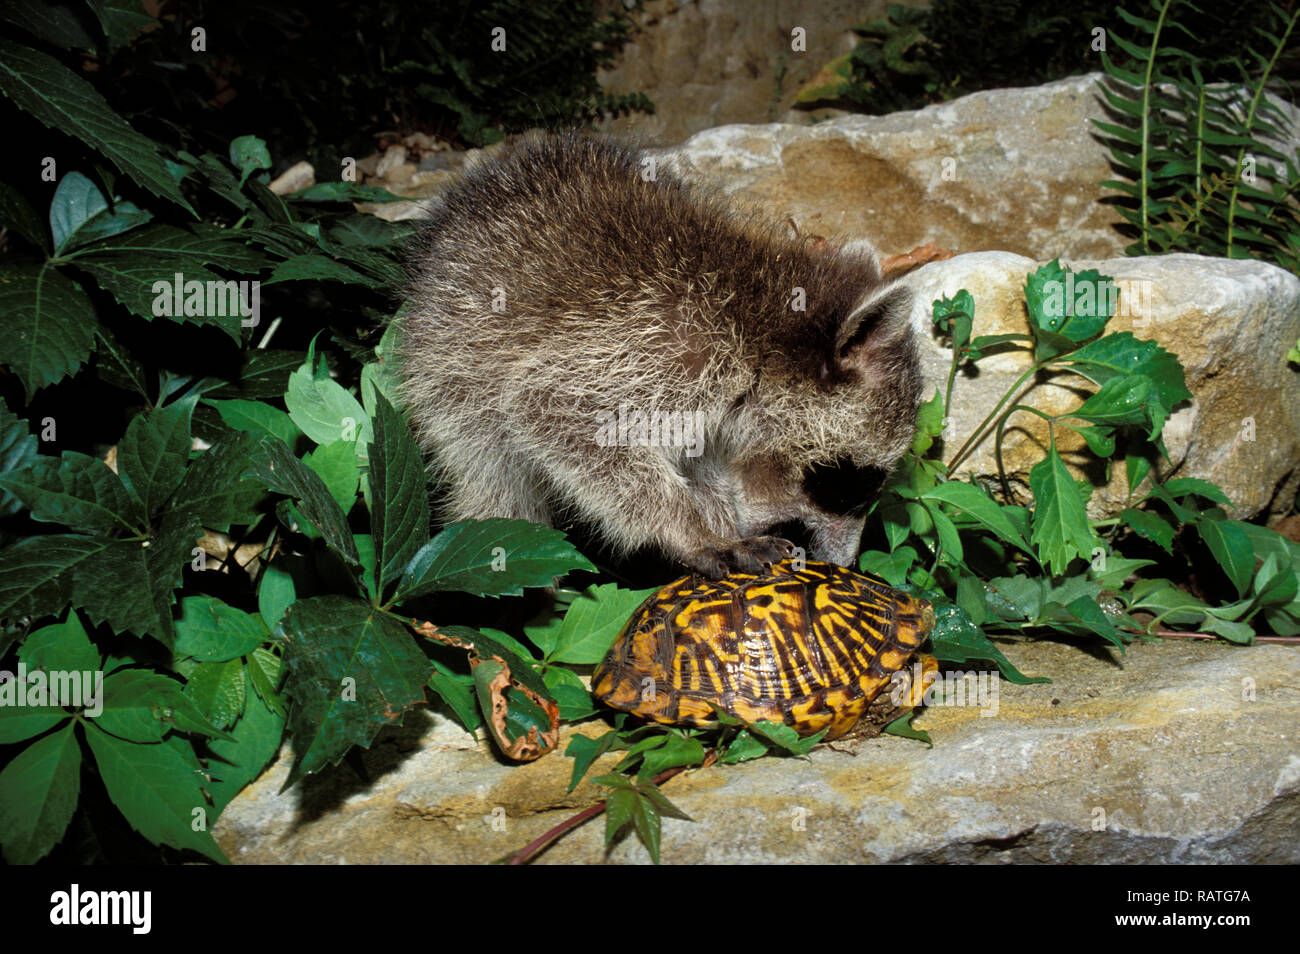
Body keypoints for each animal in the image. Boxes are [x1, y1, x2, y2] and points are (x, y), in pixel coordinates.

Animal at [396, 131, 922, 579]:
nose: (845, 565)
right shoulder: (665, 346)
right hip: (453, 365)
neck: (765, 332)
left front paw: (714, 516)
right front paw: (688, 526)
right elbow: (553, 409)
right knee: (494, 481)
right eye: (846, 481)